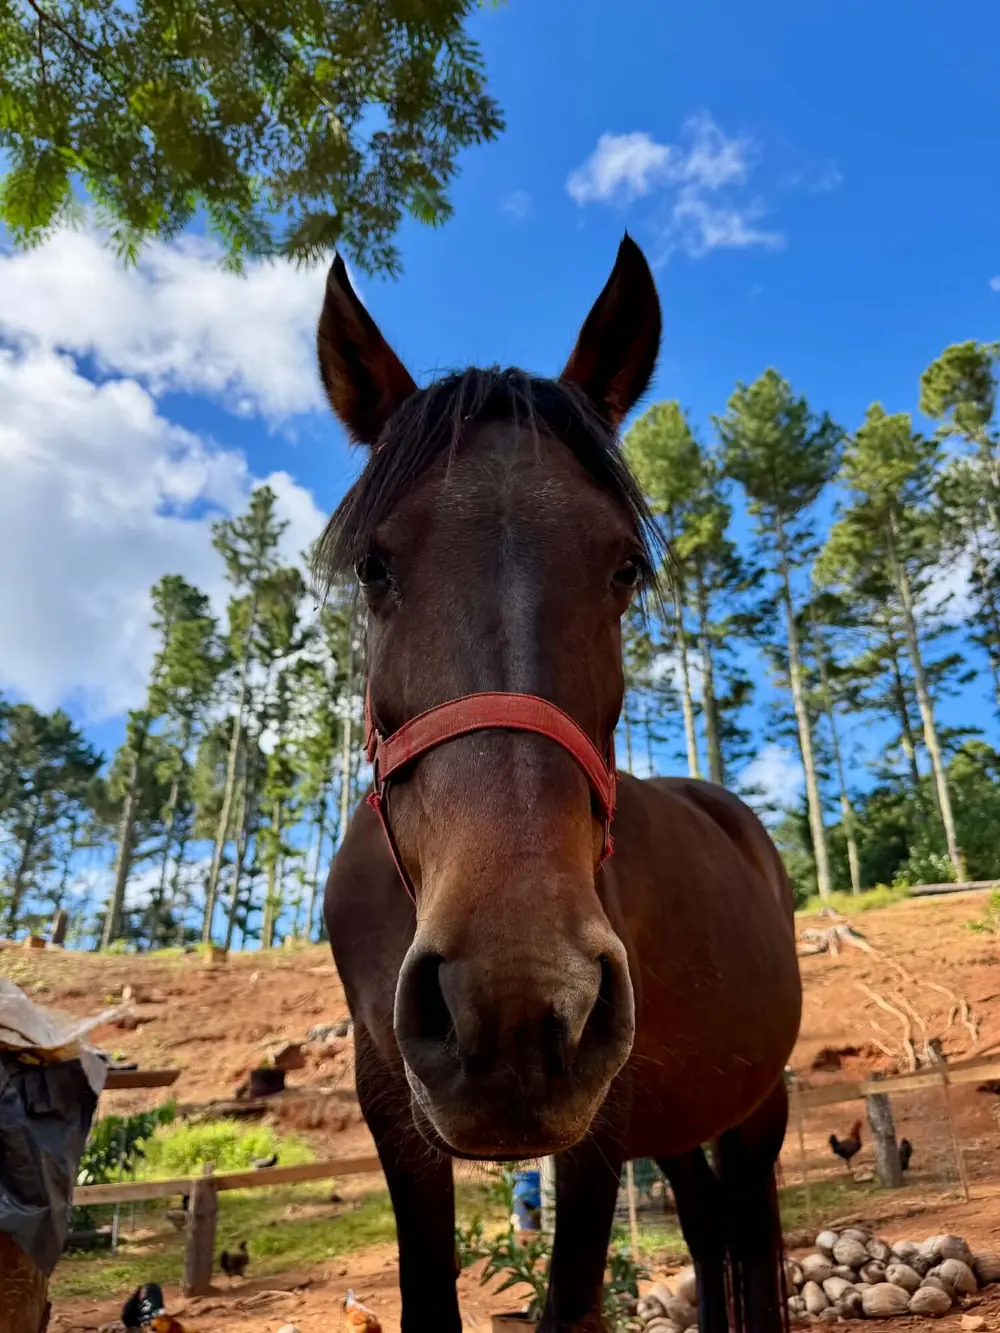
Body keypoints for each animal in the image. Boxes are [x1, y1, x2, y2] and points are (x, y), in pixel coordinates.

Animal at [317, 235, 802, 1333]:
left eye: (624, 568)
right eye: (374, 567)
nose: (513, 1006)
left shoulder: (599, 1126)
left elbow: (574, 1300)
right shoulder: (393, 1104)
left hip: (754, 1103)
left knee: (750, 1239)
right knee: (709, 1230)